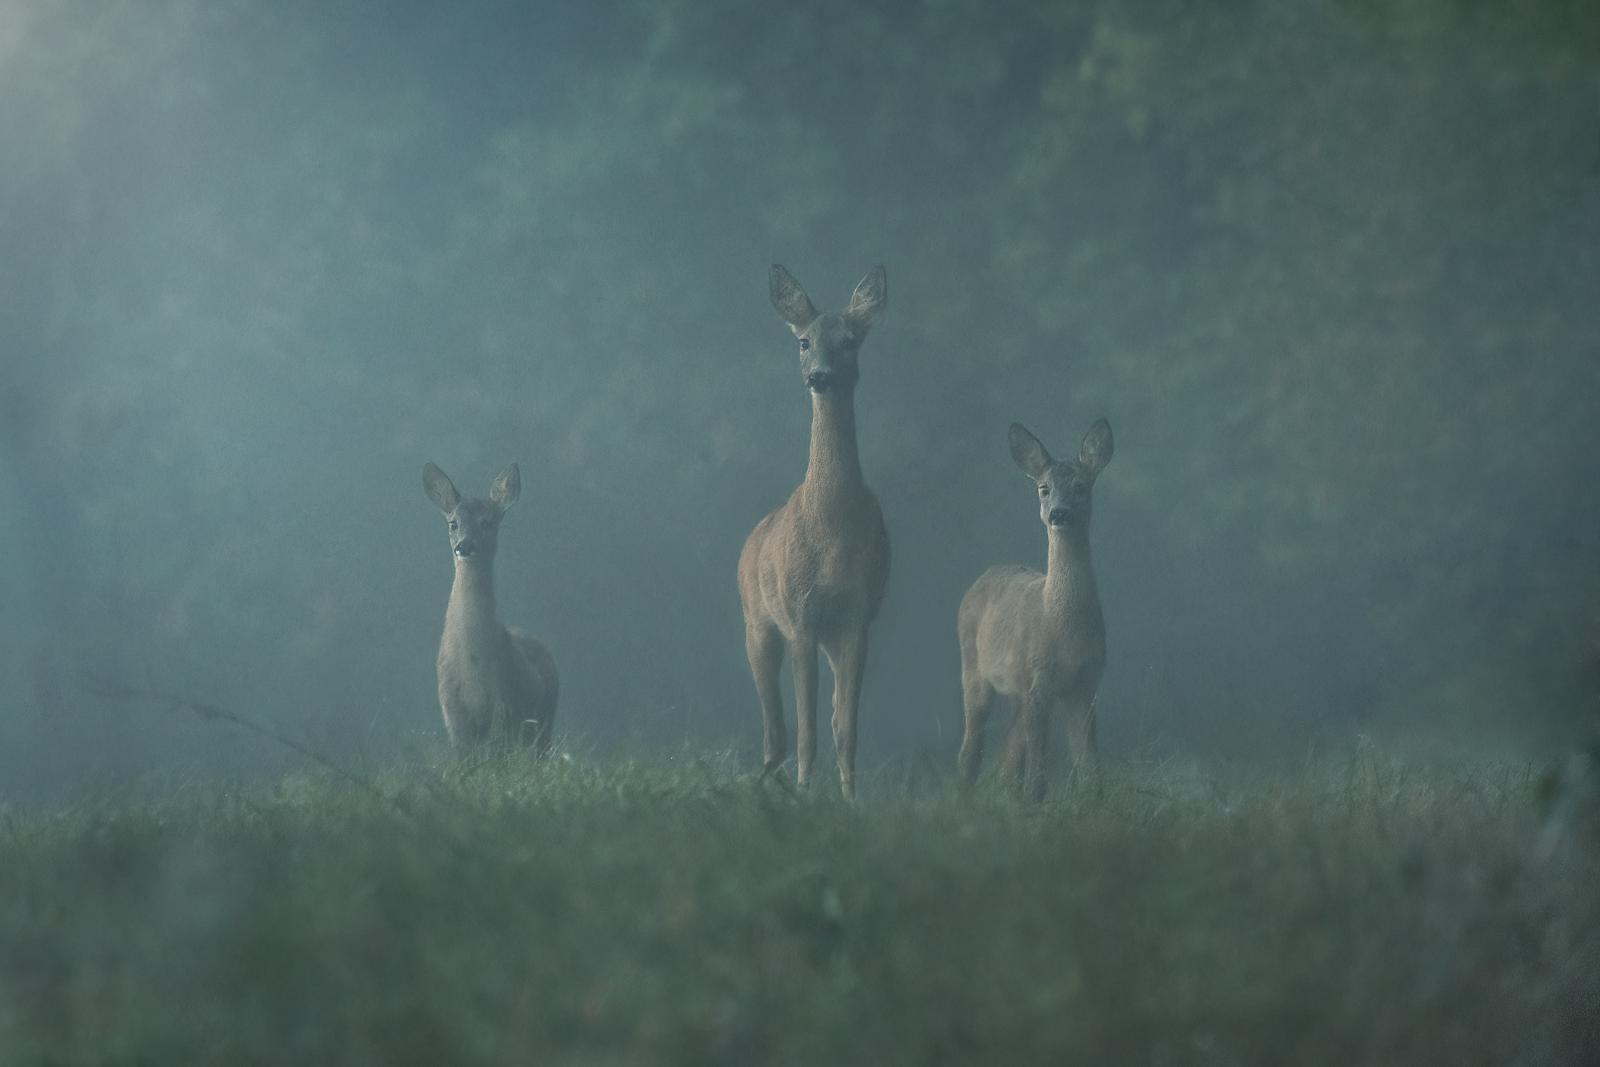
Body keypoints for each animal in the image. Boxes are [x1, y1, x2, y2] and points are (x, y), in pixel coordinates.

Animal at [422, 463, 560, 755]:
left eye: (487, 523)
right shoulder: (450, 704)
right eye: (453, 523)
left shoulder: (503, 699)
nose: (464, 545)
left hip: (545, 716)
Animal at [736, 265, 889, 799]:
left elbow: (845, 725)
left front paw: (851, 798)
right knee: (775, 727)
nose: (818, 375)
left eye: (850, 341)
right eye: (804, 341)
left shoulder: (857, 617)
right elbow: (807, 728)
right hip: (757, 621)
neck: (832, 529)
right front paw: (805, 795)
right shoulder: (799, 615)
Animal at [953, 415, 1120, 799]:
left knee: (1007, 757)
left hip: (1018, 689)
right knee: (971, 748)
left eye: (1081, 486)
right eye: (1044, 488)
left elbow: (1090, 768)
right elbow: (1038, 776)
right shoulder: (1038, 678)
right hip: (974, 667)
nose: (1059, 513)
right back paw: (964, 795)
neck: (1061, 626)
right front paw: (1033, 801)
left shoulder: (1085, 684)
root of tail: (984, 575)